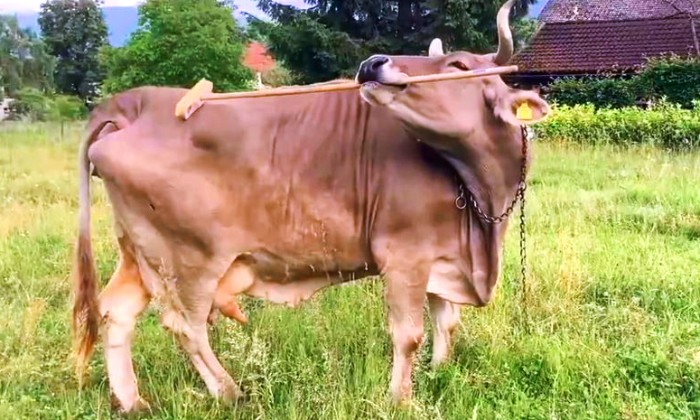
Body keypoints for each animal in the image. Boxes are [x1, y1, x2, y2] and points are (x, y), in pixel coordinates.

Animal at [70, 0, 550, 413]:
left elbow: (445, 322)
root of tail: (135, 101)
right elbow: (409, 334)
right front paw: (402, 399)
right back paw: (229, 392)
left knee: (117, 311)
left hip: (139, 252)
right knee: (184, 324)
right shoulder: (405, 254)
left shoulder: (444, 255)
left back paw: (133, 401)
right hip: (188, 259)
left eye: (458, 66)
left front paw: (438, 374)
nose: (372, 63)